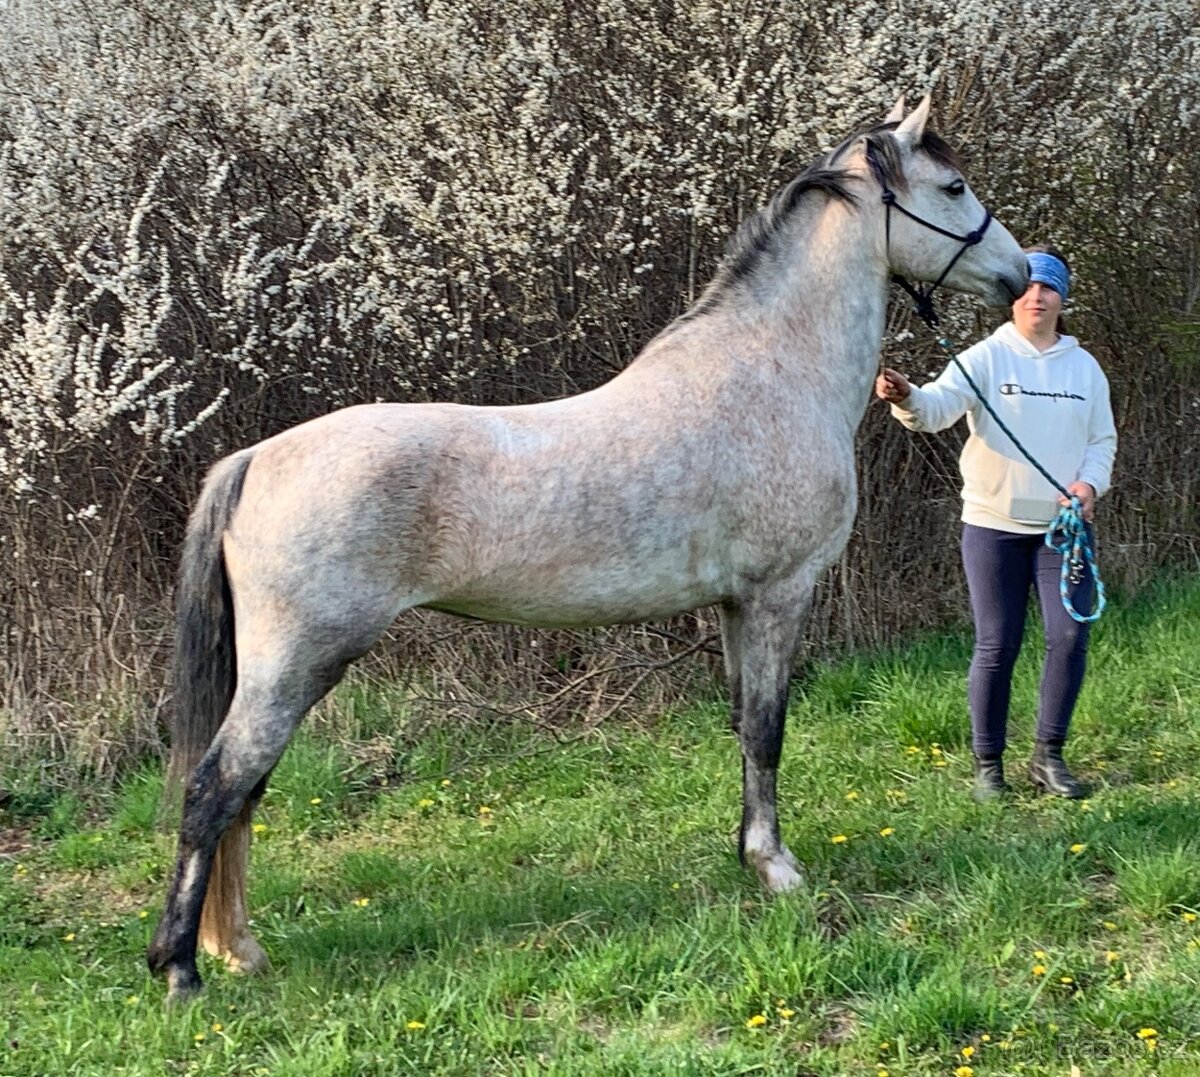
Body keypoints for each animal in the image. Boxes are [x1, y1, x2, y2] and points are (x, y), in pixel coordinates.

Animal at [147, 96, 1029, 1000]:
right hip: (295, 664)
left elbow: (743, 726)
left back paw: (239, 947)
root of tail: (255, 460)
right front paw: (779, 868)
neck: (773, 374)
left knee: (246, 793)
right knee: (215, 789)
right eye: (953, 187)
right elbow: (769, 728)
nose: (1021, 274)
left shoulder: (735, 605)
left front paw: (749, 856)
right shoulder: (779, 594)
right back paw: (182, 967)